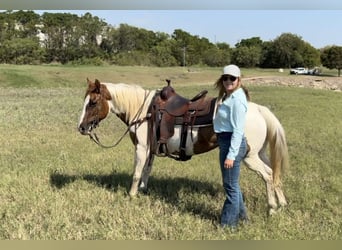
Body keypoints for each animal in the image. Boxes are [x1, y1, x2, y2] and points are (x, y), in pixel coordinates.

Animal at [77, 78, 288, 215]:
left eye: (93, 102)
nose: (81, 128)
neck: (144, 111)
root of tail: (259, 110)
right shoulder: (151, 149)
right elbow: (146, 170)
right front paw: (143, 190)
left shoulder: (141, 147)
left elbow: (136, 173)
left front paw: (132, 195)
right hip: (259, 153)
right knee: (274, 172)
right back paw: (283, 203)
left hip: (249, 157)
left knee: (268, 175)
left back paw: (272, 208)